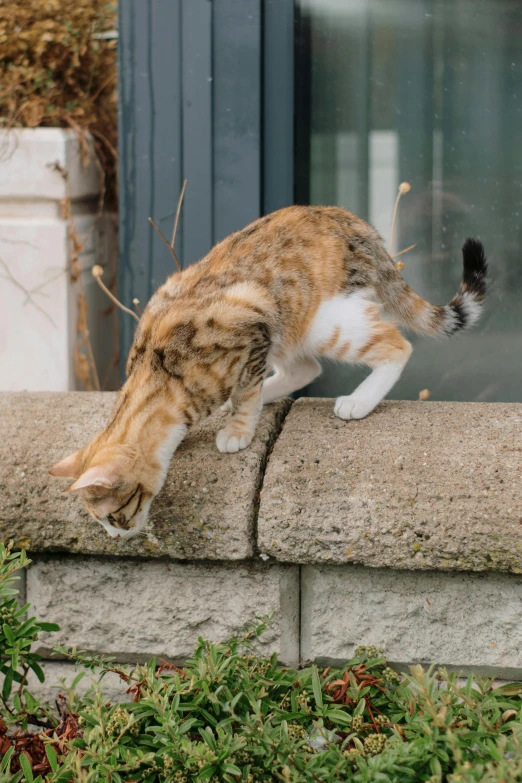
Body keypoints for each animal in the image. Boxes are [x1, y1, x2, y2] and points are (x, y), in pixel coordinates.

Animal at [47, 205, 484, 544]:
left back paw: (358, 401)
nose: (115, 537)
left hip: (322, 322)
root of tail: (357, 223)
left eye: (112, 516)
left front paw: (238, 431)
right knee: (306, 367)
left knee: (396, 345)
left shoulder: (252, 328)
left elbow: (245, 393)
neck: (158, 373)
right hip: (292, 329)